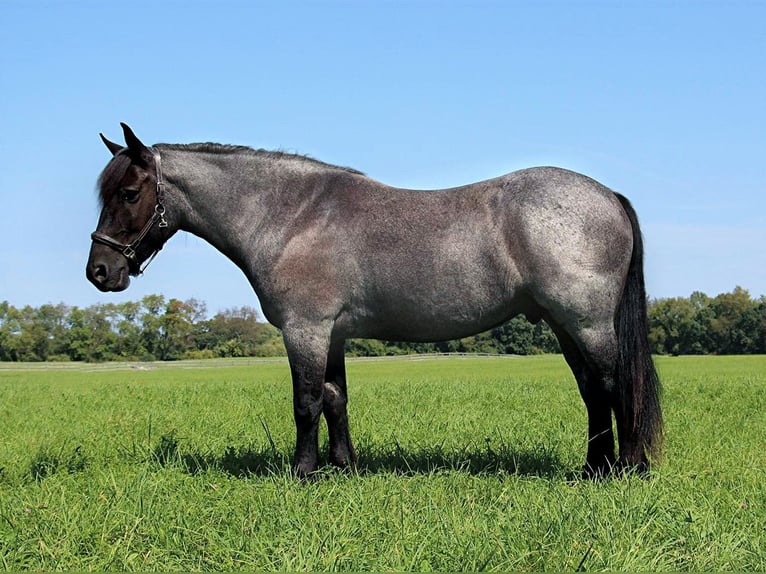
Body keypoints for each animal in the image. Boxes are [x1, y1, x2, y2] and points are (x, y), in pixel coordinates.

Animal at [87, 124, 664, 480]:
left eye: (130, 192)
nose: (100, 271)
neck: (292, 216)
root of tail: (607, 195)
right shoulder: (332, 335)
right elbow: (335, 399)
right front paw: (344, 467)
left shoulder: (306, 330)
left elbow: (306, 402)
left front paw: (302, 474)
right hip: (565, 327)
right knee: (592, 393)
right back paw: (592, 470)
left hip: (587, 325)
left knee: (614, 387)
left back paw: (622, 471)